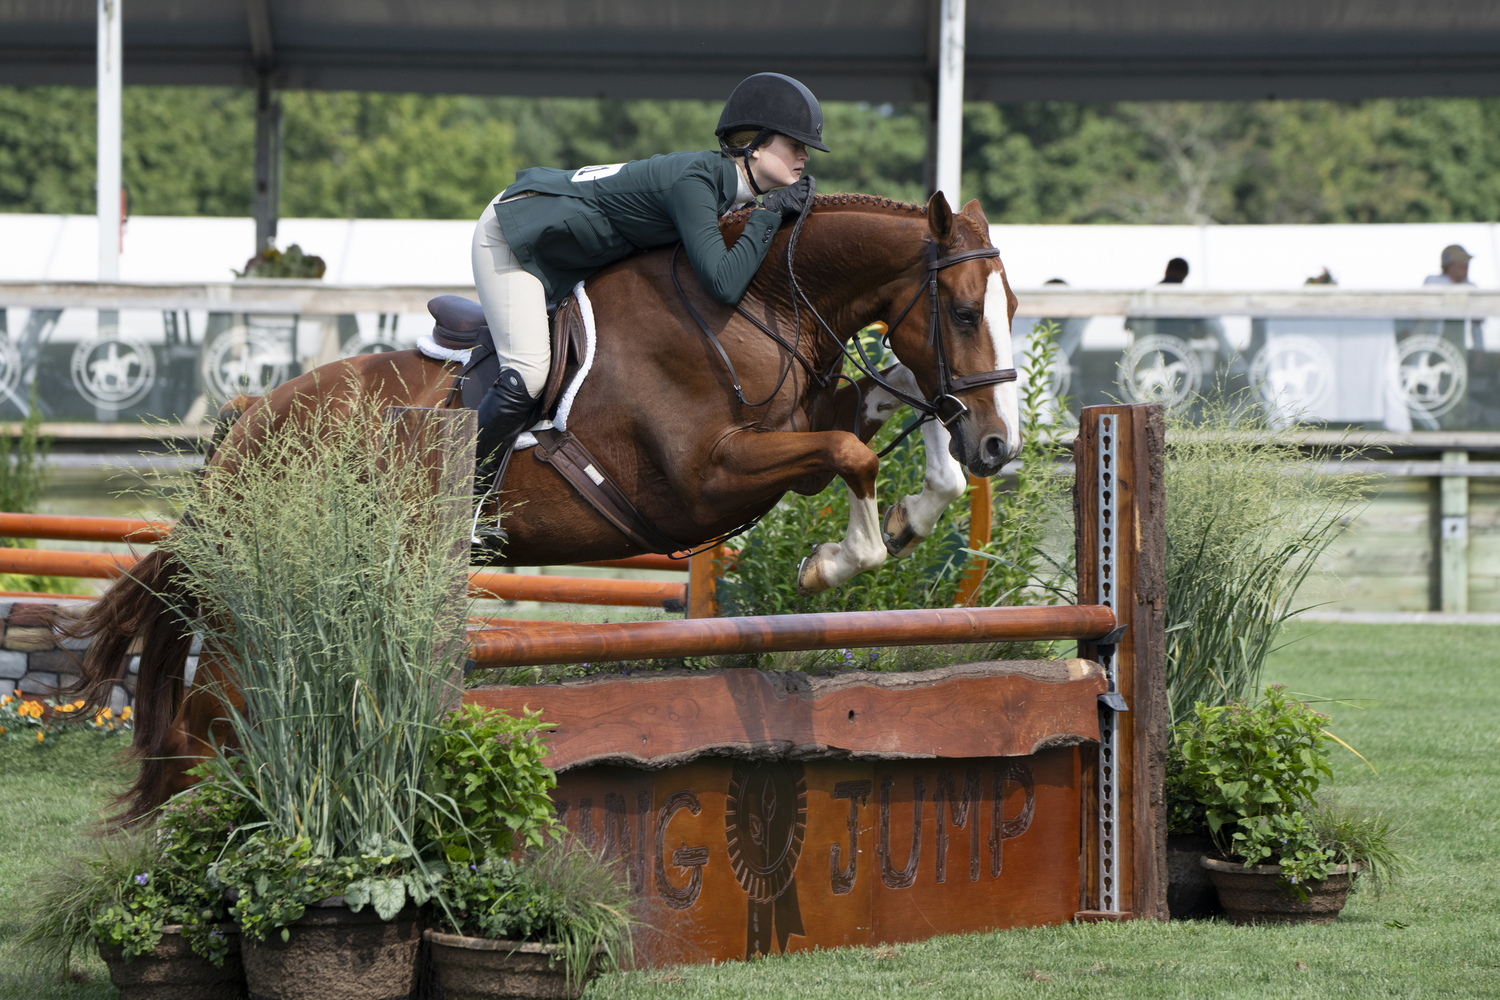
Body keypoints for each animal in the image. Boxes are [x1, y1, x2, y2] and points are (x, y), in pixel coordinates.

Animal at [61, 189, 1020, 821]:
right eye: (964, 311)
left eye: (1011, 306)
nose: (999, 447)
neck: (756, 298)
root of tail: (250, 414)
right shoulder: (702, 481)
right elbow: (853, 451)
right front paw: (839, 560)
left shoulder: (798, 428)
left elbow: (893, 401)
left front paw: (916, 510)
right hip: (248, 603)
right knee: (205, 724)